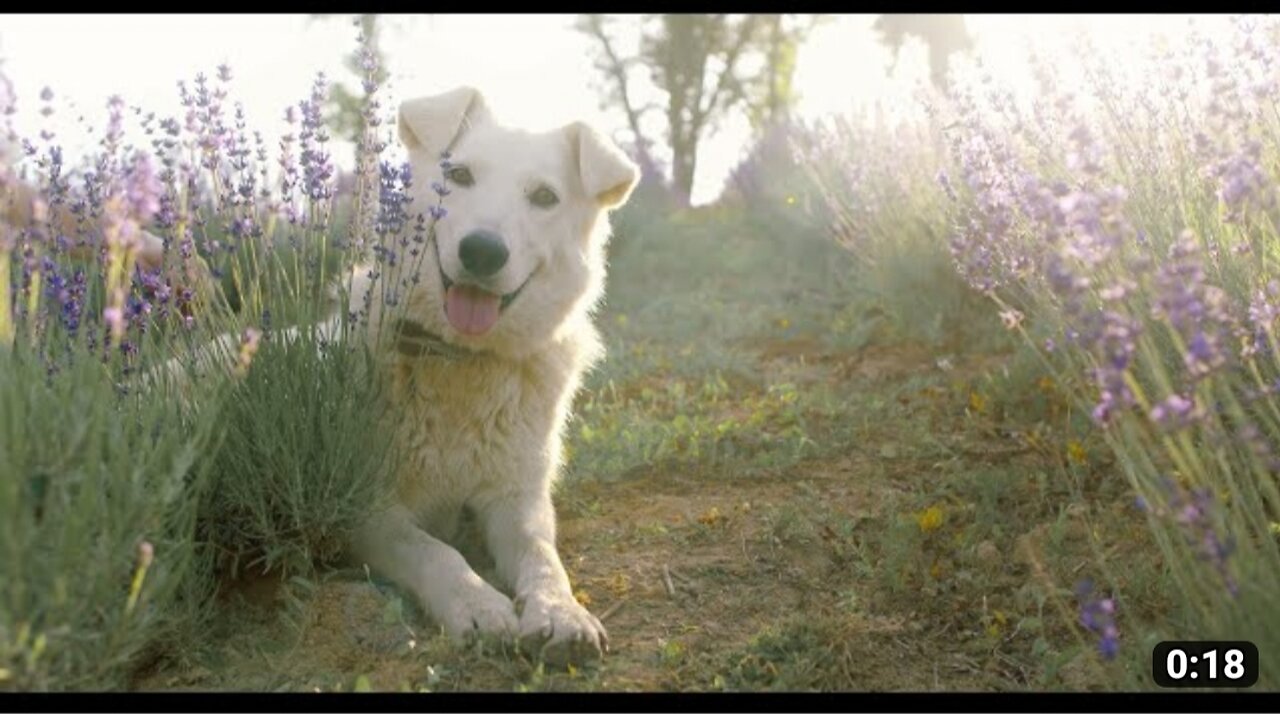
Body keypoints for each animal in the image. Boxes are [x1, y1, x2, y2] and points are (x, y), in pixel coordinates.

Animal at [343, 87, 637, 670]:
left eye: (544, 197)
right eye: (458, 176)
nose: (482, 251)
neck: (461, 362)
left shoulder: (517, 500)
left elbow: (544, 557)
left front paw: (561, 611)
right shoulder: (367, 511)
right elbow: (433, 549)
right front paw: (477, 604)